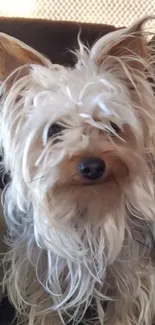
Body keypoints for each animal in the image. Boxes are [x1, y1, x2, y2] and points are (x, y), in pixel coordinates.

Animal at [0, 16, 155, 324]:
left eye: (111, 126)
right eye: (54, 130)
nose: (92, 166)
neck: (85, 205)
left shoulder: (129, 275)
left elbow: (124, 307)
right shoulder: (39, 277)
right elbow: (44, 308)